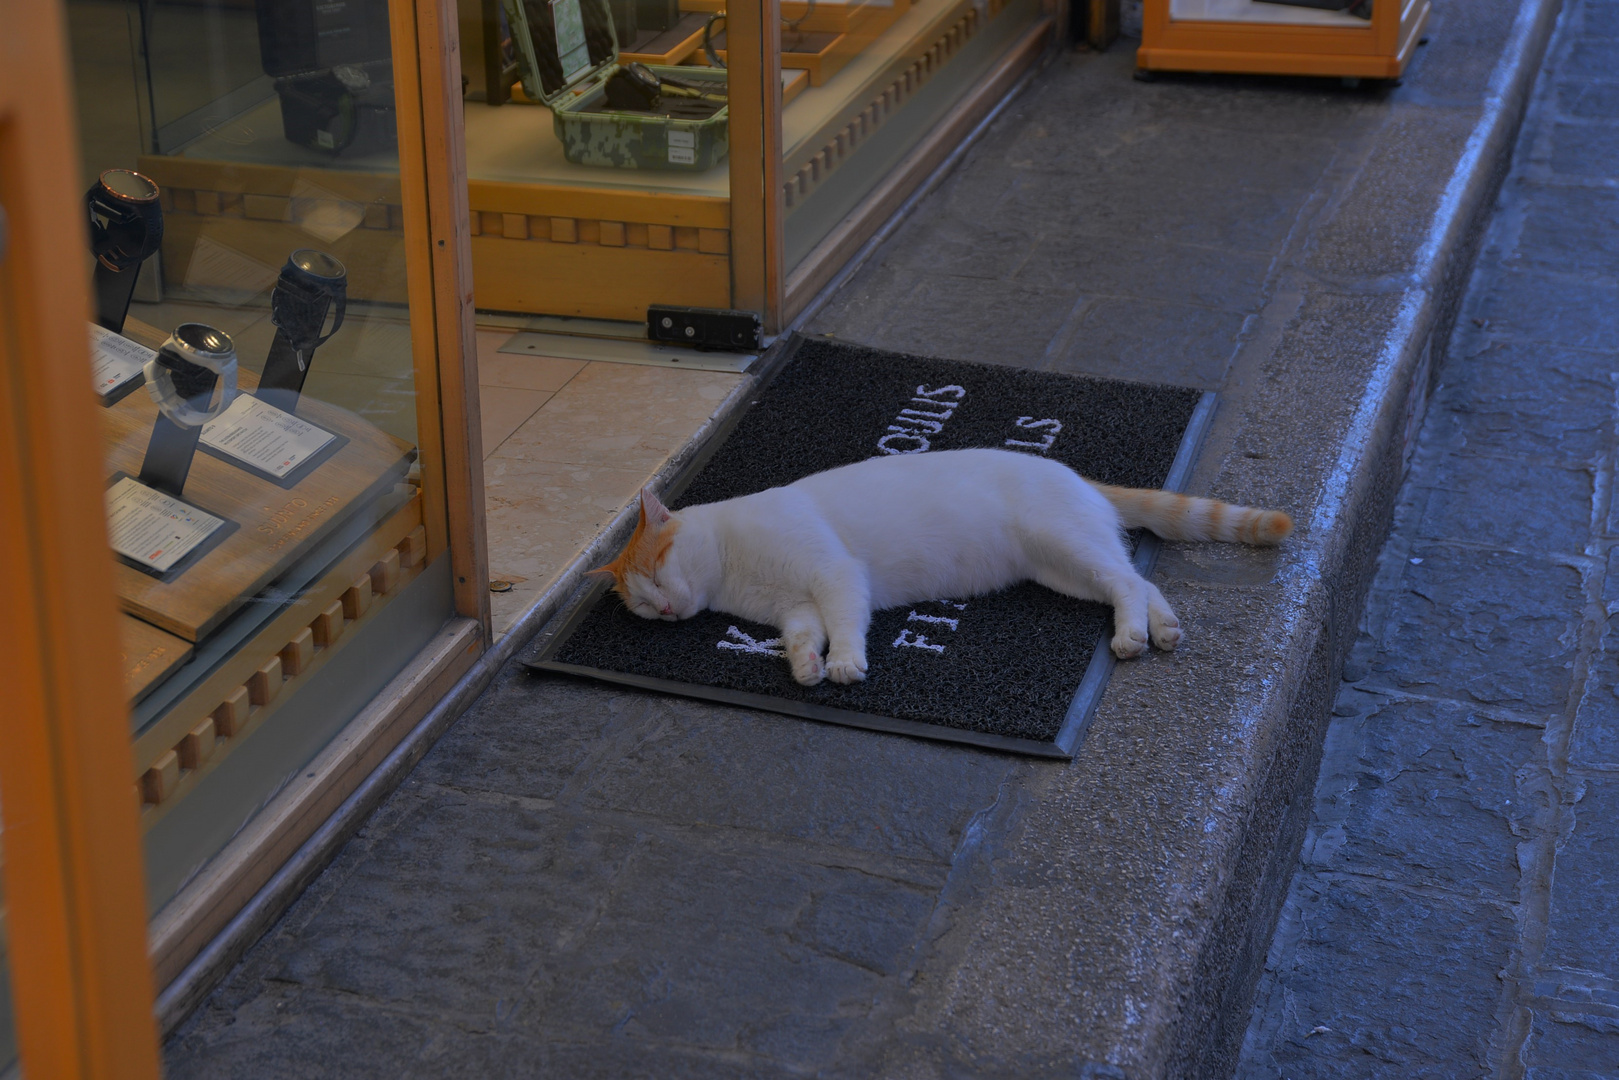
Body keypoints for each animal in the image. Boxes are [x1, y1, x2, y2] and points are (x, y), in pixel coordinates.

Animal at [592, 446, 1288, 683]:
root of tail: (1072, 473)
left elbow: (846, 625)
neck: (735, 570)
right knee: (1137, 581)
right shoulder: (796, 608)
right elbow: (803, 637)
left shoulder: (835, 577)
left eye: (657, 573)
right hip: (1065, 572)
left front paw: (843, 664)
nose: (665, 609)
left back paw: (1132, 637)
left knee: (1127, 582)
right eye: (644, 605)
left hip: (1065, 546)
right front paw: (807, 666)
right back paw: (1162, 629)